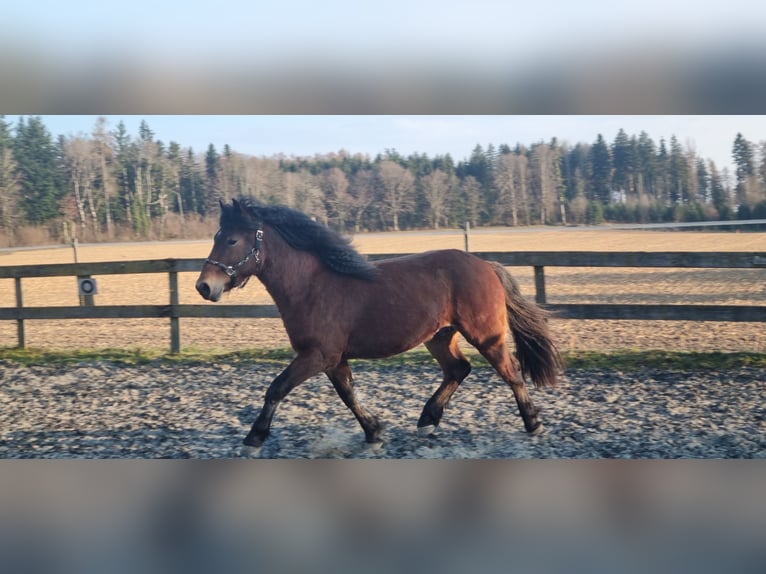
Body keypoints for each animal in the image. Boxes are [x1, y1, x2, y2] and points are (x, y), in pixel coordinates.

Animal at [196, 197, 563, 456]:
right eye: (216, 236)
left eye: (231, 240)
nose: (204, 287)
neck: (310, 286)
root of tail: (485, 264)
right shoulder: (333, 359)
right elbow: (348, 394)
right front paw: (374, 433)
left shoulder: (317, 355)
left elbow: (276, 389)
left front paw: (253, 438)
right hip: (439, 336)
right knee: (458, 369)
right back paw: (427, 421)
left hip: (486, 335)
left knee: (511, 371)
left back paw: (533, 424)